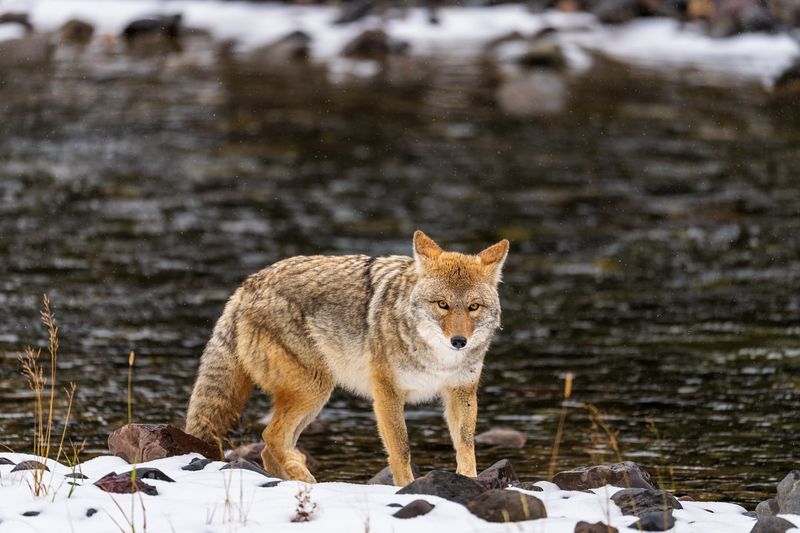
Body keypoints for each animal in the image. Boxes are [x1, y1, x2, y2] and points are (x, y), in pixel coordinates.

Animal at [185, 231, 510, 484]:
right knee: (271, 437)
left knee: (268, 446)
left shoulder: (461, 392)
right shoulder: (387, 393)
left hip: (314, 400)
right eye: (442, 304)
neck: (438, 360)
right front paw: (407, 488)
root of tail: (247, 285)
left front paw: (469, 481)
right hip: (314, 390)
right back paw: (308, 482)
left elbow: (466, 445)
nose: (459, 341)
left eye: (473, 307)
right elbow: (401, 450)